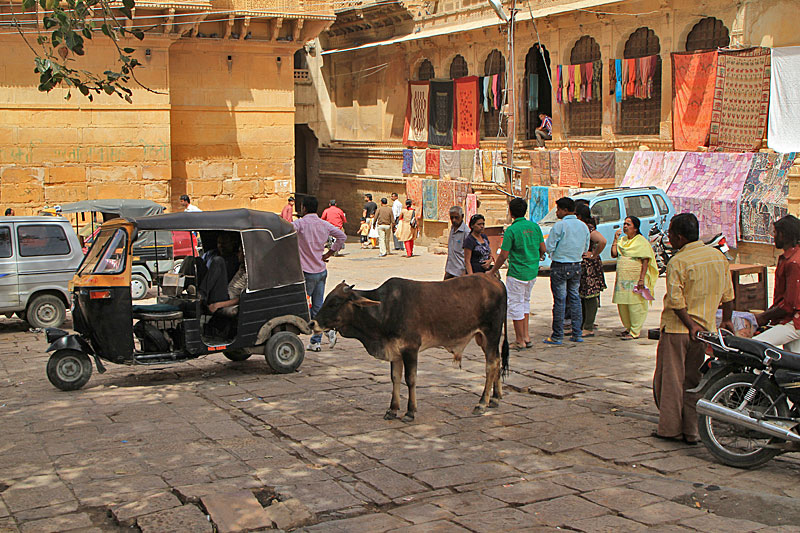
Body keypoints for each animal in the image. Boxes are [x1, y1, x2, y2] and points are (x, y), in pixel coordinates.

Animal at [310, 274, 510, 420]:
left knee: (491, 364)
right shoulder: (395, 351)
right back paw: (495, 398)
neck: (385, 309)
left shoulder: (410, 349)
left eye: (334, 303)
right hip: (482, 338)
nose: (312, 323)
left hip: (491, 333)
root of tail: (496, 280)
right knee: (498, 360)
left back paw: (482, 403)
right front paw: (392, 409)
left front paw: (410, 411)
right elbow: (395, 378)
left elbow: (410, 379)